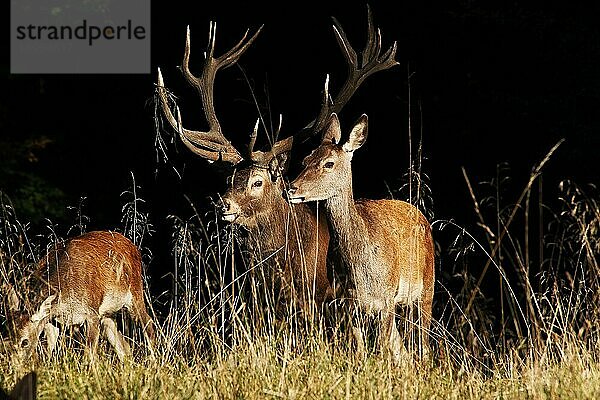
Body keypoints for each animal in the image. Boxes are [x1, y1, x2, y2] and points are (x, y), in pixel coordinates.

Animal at [6, 230, 155, 360]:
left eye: (24, 342)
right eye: (8, 337)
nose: (15, 366)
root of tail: (133, 246)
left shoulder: (92, 312)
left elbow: (89, 354)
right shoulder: (52, 320)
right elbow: (49, 350)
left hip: (135, 293)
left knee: (148, 323)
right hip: (107, 313)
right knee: (124, 345)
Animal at [288, 113, 434, 360]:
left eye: (329, 163)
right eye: (305, 160)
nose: (291, 189)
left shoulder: (387, 297)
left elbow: (383, 349)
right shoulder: (347, 301)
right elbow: (360, 351)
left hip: (427, 287)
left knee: (423, 344)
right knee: (402, 350)